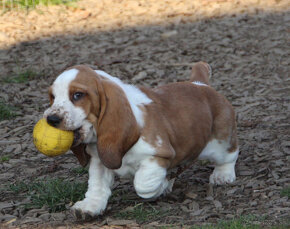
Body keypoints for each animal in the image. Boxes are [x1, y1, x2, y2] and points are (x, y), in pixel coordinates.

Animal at [43, 61, 238, 217]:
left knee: (229, 155)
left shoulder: (157, 155)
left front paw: (161, 186)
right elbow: (96, 184)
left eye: (77, 95)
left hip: (220, 143)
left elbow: (143, 185)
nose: (51, 119)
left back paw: (222, 175)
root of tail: (200, 84)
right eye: (53, 97)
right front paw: (90, 206)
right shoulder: (100, 160)